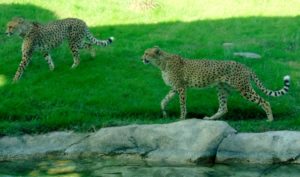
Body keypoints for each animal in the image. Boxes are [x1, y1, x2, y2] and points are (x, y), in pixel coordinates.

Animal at [141, 46, 290, 121]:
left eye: (147, 53)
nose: (141, 58)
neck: (161, 63)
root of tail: (244, 65)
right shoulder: (175, 88)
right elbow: (164, 100)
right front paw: (164, 112)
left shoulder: (181, 87)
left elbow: (182, 105)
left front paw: (182, 118)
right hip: (222, 89)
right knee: (224, 107)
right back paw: (210, 118)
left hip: (243, 88)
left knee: (264, 101)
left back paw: (270, 119)